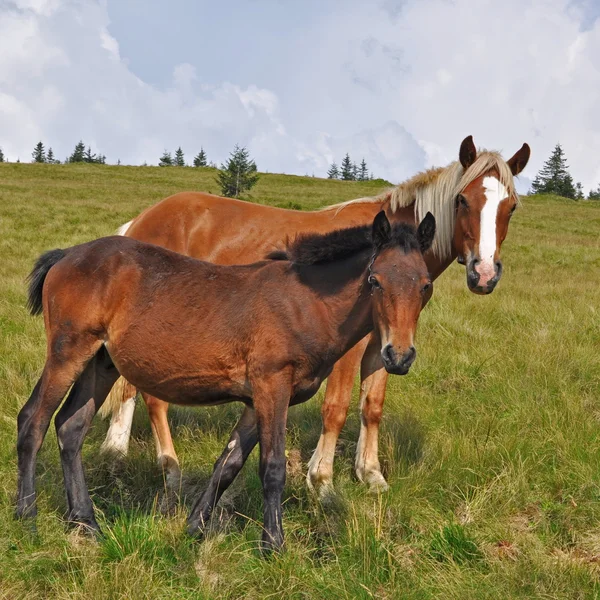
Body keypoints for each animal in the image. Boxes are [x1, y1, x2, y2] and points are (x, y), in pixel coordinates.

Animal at [16, 212, 434, 552]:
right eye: (375, 280)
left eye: (425, 285)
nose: (398, 356)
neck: (306, 304)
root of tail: (67, 255)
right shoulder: (271, 387)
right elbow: (272, 466)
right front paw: (273, 545)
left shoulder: (256, 400)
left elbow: (228, 465)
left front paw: (192, 530)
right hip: (68, 352)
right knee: (33, 421)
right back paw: (27, 518)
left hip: (100, 364)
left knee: (71, 427)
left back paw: (86, 523)